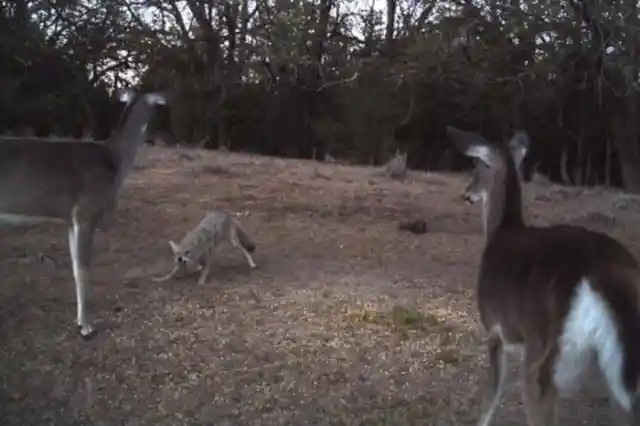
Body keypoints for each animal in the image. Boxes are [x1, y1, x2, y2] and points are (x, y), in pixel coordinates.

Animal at [0, 87, 168, 340]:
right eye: (157, 110)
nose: (161, 137)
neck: (115, 160)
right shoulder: (86, 213)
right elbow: (82, 270)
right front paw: (87, 326)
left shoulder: (71, 220)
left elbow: (74, 267)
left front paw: (81, 321)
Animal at [444, 126, 640, 426]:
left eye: (477, 166)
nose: (467, 193)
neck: (499, 233)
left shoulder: (495, 327)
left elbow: (490, 396)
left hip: (545, 349)